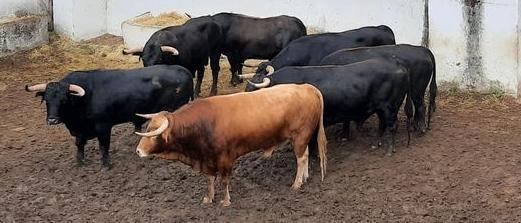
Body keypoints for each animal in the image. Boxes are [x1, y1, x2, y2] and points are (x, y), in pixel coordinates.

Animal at [24, 64, 193, 167]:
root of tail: (184, 71)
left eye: (64, 100)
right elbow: (79, 144)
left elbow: (104, 145)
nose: (52, 120)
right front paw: (80, 161)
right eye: (46, 100)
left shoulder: (103, 126)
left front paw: (106, 164)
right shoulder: (80, 131)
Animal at [136, 84, 328, 207]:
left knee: (301, 158)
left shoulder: (225, 158)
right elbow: (210, 179)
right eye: (148, 127)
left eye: (155, 134)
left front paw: (226, 201)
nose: (138, 151)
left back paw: (297, 184)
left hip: (300, 135)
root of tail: (306, 87)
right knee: (305, 154)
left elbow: (224, 180)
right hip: (301, 138)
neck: (203, 124)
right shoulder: (208, 159)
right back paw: (305, 177)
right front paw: (209, 198)